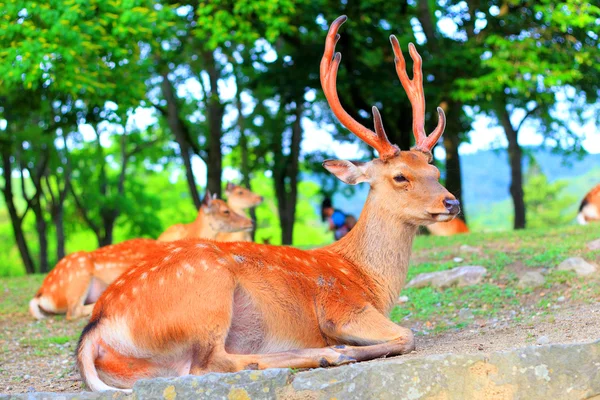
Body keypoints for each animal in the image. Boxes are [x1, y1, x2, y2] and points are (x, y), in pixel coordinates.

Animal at [75, 14, 460, 390]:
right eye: (400, 176)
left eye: (434, 168)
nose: (452, 202)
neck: (367, 280)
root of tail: (94, 331)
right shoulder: (343, 306)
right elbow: (407, 335)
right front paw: (346, 346)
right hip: (208, 292)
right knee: (211, 364)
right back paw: (330, 353)